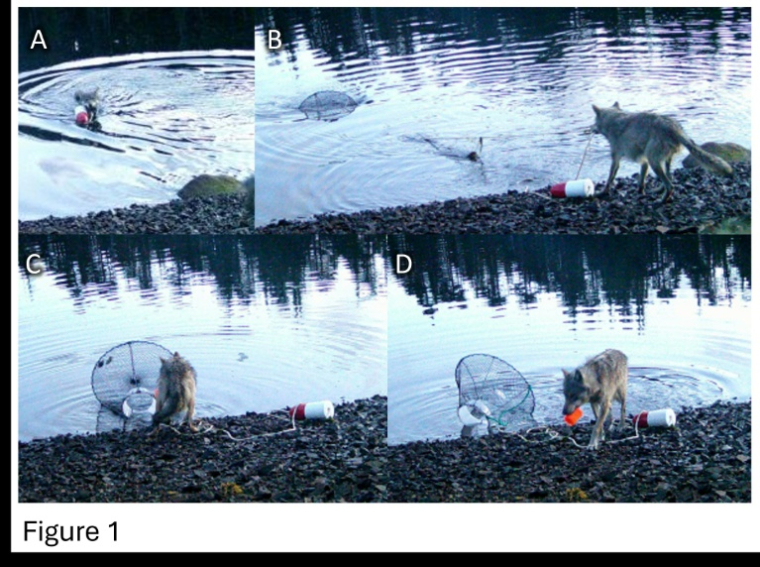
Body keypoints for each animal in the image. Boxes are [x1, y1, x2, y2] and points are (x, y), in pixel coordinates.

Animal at [592, 102, 733, 203]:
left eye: (594, 122)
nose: (591, 129)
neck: (613, 119)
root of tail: (675, 129)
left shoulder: (616, 158)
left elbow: (610, 177)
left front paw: (604, 191)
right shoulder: (644, 161)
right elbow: (642, 179)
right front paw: (640, 191)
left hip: (654, 159)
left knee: (670, 185)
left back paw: (663, 200)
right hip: (663, 159)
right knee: (669, 177)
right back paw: (661, 190)